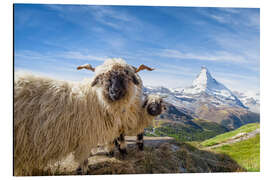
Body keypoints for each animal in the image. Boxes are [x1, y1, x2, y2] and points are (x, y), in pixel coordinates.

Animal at [14, 58, 154, 175]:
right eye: (103, 77)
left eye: (126, 76)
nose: (115, 92)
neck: (96, 99)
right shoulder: (85, 139)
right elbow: (84, 160)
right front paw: (83, 170)